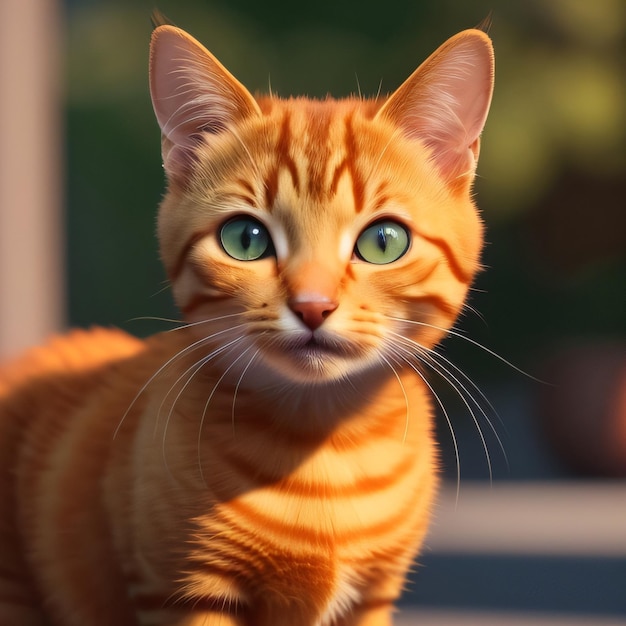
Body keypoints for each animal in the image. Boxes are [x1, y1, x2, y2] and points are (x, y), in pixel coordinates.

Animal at [0, 20, 492, 624]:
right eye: (246, 238)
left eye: (384, 241)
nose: (312, 305)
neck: (323, 452)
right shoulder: (183, 590)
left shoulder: (373, 596)